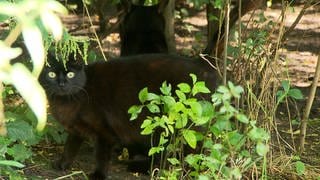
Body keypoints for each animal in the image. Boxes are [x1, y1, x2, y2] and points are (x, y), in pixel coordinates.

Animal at [37, 52, 218, 179]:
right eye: (52, 74)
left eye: (70, 75)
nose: (61, 84)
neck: (68, 100)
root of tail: (209, 75)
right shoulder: (76, 129)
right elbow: (70, 147)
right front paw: (63, 164)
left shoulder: (104, 131)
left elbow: (101, 155)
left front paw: (98, 175)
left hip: (174, 125)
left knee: (187, 152)